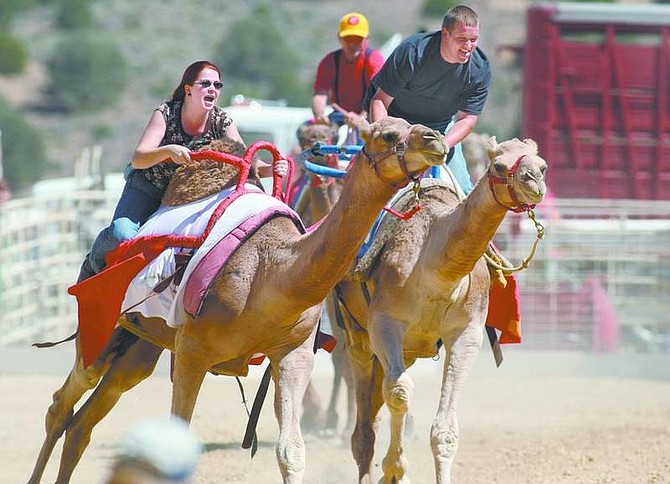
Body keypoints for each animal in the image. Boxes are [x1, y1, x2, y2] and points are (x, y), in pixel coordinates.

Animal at [27, 117, 452, 484]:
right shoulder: (193, 351)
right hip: (101, 325)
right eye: (388, 135)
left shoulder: (293, 352)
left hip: (140, 346)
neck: (273, 269)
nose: (436, 140)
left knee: (83, 423)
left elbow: (291, 451)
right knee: (61, 404)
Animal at [336, 134, 552, 482]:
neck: (436, 269)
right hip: (358, 335)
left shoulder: (466, 334)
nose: (534, 182)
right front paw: (395, 470)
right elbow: (400, 393)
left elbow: (444, 431)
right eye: (498, 165)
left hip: (406, 349)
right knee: (364, 428)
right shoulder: (385, 323)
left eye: (542, 165)